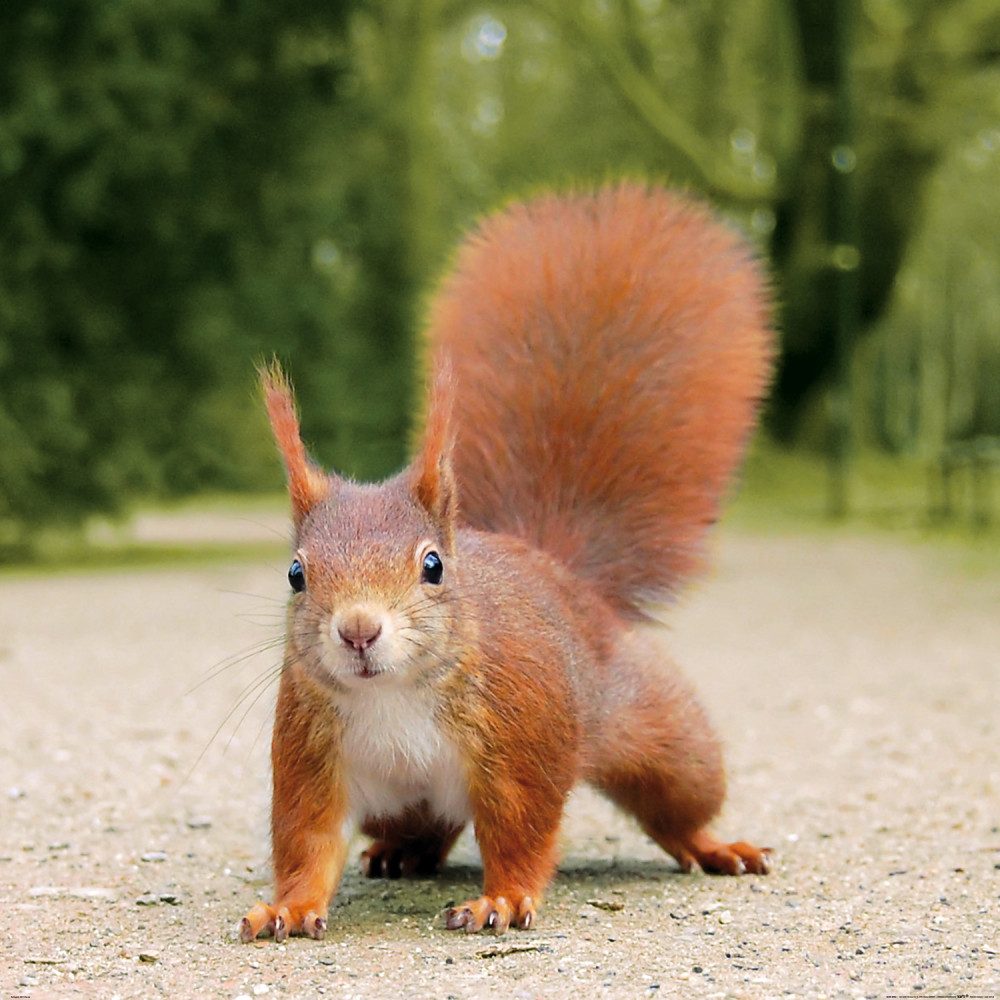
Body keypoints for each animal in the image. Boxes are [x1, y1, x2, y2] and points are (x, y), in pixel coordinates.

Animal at [238, 182, 774, 942]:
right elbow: (307, 842)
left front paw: (503, 898)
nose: (358, 631)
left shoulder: (522, 739)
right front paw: (286, 906)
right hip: (398, 801)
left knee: (678, 803)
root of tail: (559, 570)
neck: (392, 695)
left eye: (434, 566)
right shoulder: (312, 756)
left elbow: (520, 829)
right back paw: (402, 853)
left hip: (664, 734)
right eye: (295, 574)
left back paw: (713, 845)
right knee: (428, 825)